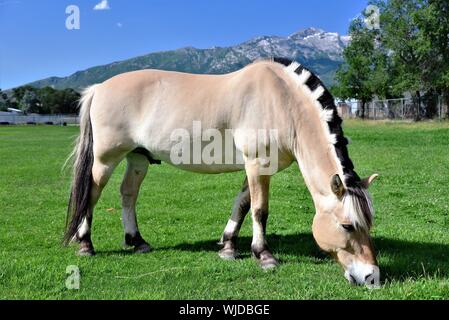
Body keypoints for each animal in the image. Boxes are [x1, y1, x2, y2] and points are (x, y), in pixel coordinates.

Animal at [63, 57, 378, 284]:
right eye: (347, 225)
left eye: (368, 224)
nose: (371, 276)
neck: (282, 101)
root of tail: (99, 88)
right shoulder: (257, 165)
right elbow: (259, 211)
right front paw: (264, 256)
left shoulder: (254, 169)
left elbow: (242, 205)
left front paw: (228, 247)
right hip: (105, 159)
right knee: (91, 194)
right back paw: (86, 244)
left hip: (137, 159)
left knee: (127, 194)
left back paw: (137, 241)